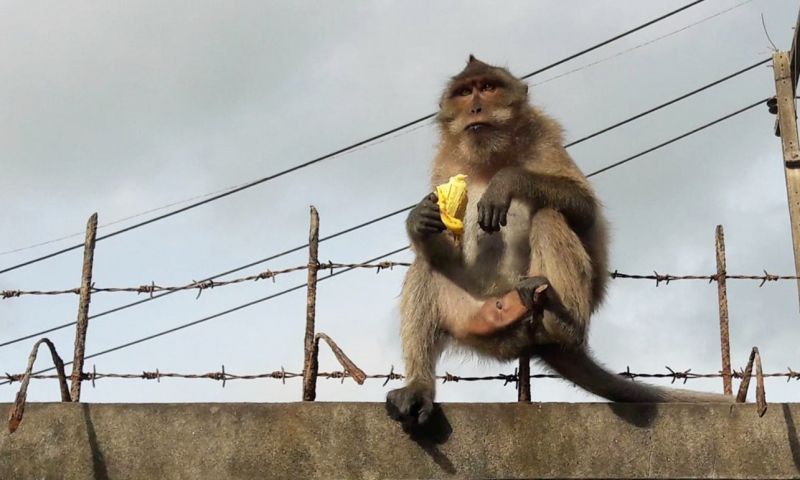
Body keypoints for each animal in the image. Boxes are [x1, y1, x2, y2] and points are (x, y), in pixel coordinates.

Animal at [388, 56, 732, 428]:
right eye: (464, 93)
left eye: (488, 87)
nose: (476, 107)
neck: (489, 159)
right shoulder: (445, 165)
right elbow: (439, 240)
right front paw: (419, 220)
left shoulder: (545, 138)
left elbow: (585, 210)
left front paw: (507, 182)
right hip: (472, 319)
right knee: (427, 266)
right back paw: (420, 386)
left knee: (548, 216)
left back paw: (562, 321)